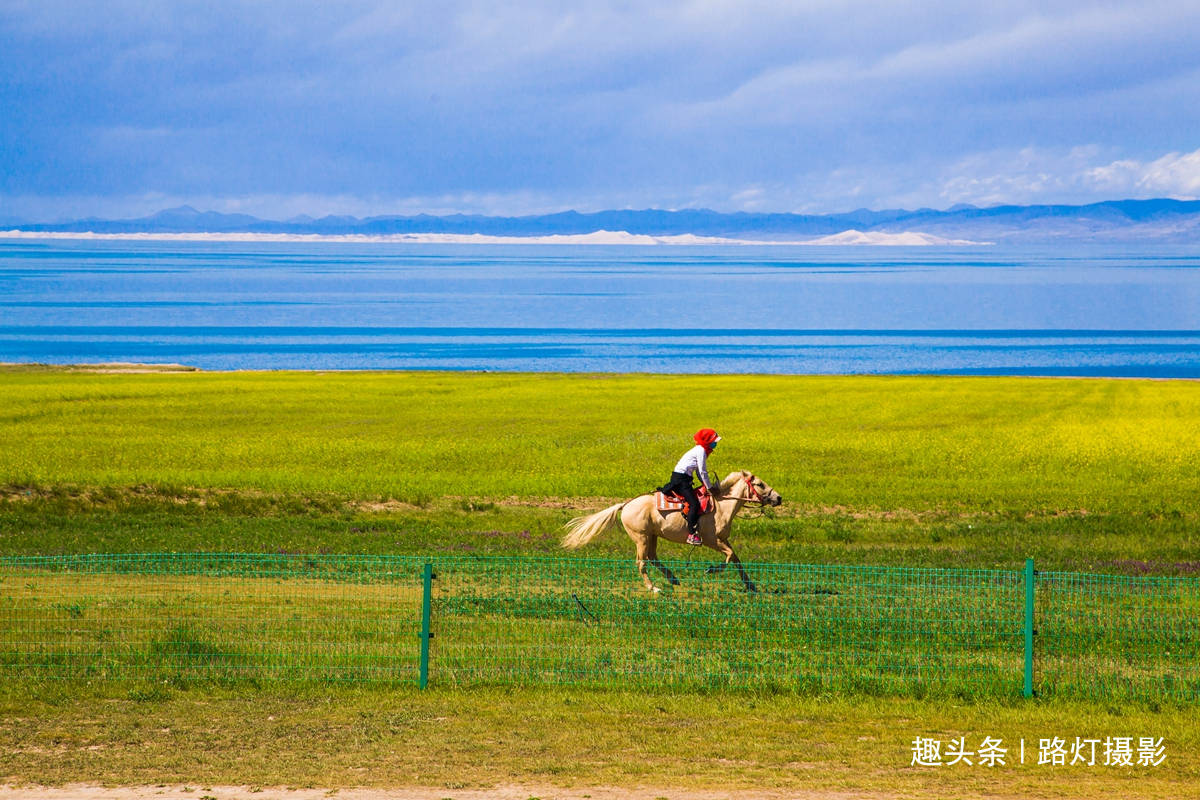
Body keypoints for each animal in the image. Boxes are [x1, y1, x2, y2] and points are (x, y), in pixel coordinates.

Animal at [559, 470, 782, 594]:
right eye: (760, 484)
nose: (778, 498)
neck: (722, 506)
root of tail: (626, 505)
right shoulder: (712, 540)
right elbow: (728, 558)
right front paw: (710, 570)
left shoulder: (723, 540)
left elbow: (736, 559)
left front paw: (751, 586)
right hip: (641, 537)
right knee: (642, 562)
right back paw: (654, 588)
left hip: (652, 536)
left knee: (652, 557)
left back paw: (673, 579)